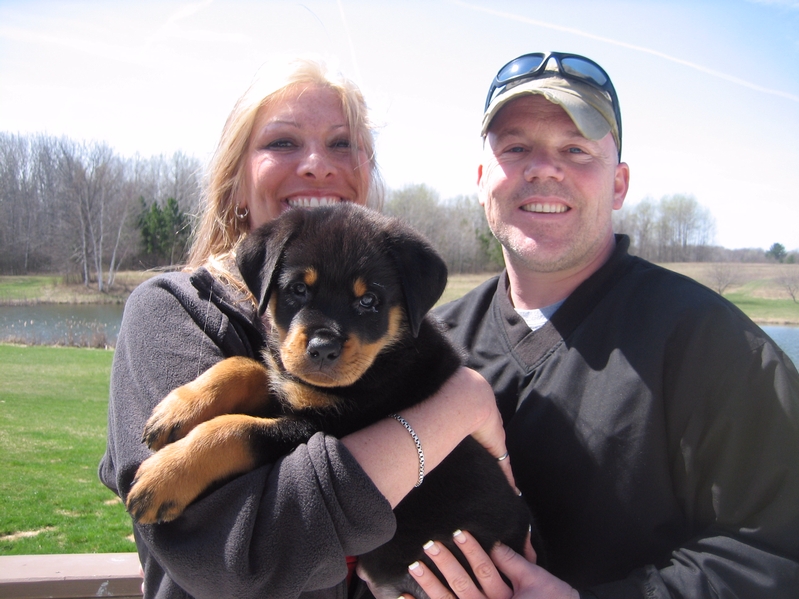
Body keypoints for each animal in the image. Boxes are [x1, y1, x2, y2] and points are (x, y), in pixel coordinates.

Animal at [125, 203, 535, 599]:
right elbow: (249, 366)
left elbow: (239, 430)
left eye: (369, 300)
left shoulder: (324, 424)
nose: (323, 349)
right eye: (298, 289)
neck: (384, 356)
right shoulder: (292, 381)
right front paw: (178, 409)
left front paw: (166, 475)